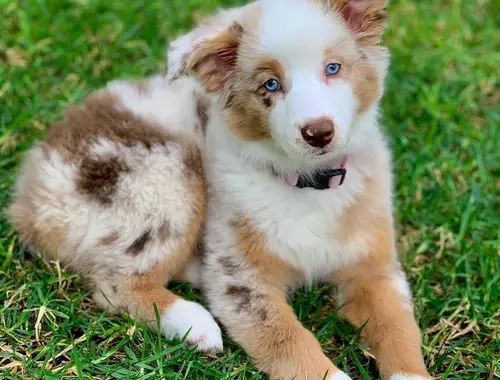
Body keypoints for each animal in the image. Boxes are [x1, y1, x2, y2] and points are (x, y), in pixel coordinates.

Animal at [169, 0, 434, 378]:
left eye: (333, 68)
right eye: (270, 84)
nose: (318, 132)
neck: (310, 184)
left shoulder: (375, 267)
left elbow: (397, 327)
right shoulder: (240, 280)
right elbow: (289, 339)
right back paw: (193, 323)